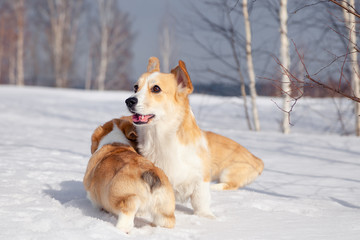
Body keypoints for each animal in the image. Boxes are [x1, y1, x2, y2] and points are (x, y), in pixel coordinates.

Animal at [126, 57, 264, 218]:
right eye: (135, 87)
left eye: (156, 89)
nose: (129, 101)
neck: (161, 138)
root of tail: (257, 159)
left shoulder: (200, 179)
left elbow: (200, 201)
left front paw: (206, 217)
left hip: (229, 172)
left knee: (230, 185)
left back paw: (215, 187)